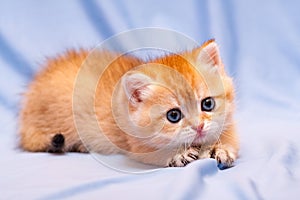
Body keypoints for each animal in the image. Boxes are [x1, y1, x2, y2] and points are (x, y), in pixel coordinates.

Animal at [18, 39, 239, 168]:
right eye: (173, 115)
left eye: (207, 104)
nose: (199, 127)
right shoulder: (135, 145)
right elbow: (156, 153)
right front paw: (178, 154)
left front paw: (221, 148)